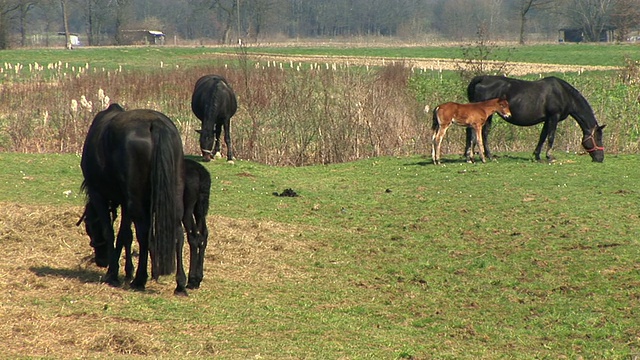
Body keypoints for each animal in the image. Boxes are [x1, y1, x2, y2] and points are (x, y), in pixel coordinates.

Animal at [78, 103, 186, 296]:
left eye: (89, 228)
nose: (101, 261)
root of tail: (155, 124)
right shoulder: (126, 202)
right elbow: (125, 235)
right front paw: (126, 270)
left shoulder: (99, 195)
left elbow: (111, 232)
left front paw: (113, 273)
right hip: (172, 197)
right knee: (178, 233)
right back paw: (180, 284)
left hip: (136, 202)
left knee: (143, 234)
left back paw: (140, 280)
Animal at [464, 76, 604, 163]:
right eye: (598, 138)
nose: (600, 158)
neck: (564, 94)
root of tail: (482, 79)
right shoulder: (554, 117)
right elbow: (551, 137)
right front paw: (549, 156)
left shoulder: (547, 119)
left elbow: (542, 136)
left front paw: (537, 155)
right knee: (481, 133)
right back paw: (486, 156)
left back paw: (471, 155)